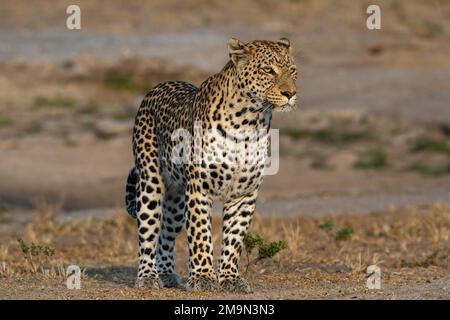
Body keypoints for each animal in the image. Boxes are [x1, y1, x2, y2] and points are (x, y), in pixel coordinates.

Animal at [125, 37, 298, 292]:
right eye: (268, 70)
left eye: (293, 71)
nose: (290, 93)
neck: (249, 121)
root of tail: (158, 87)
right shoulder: (199, 189)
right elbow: (200, 235)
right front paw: (203, 277)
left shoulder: (244, 194)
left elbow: (234, 239)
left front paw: (229, 278)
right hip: (151, 184)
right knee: (149, 231)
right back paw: (148, 276)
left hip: (177, 200)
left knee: (166, 234)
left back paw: (166, 273)